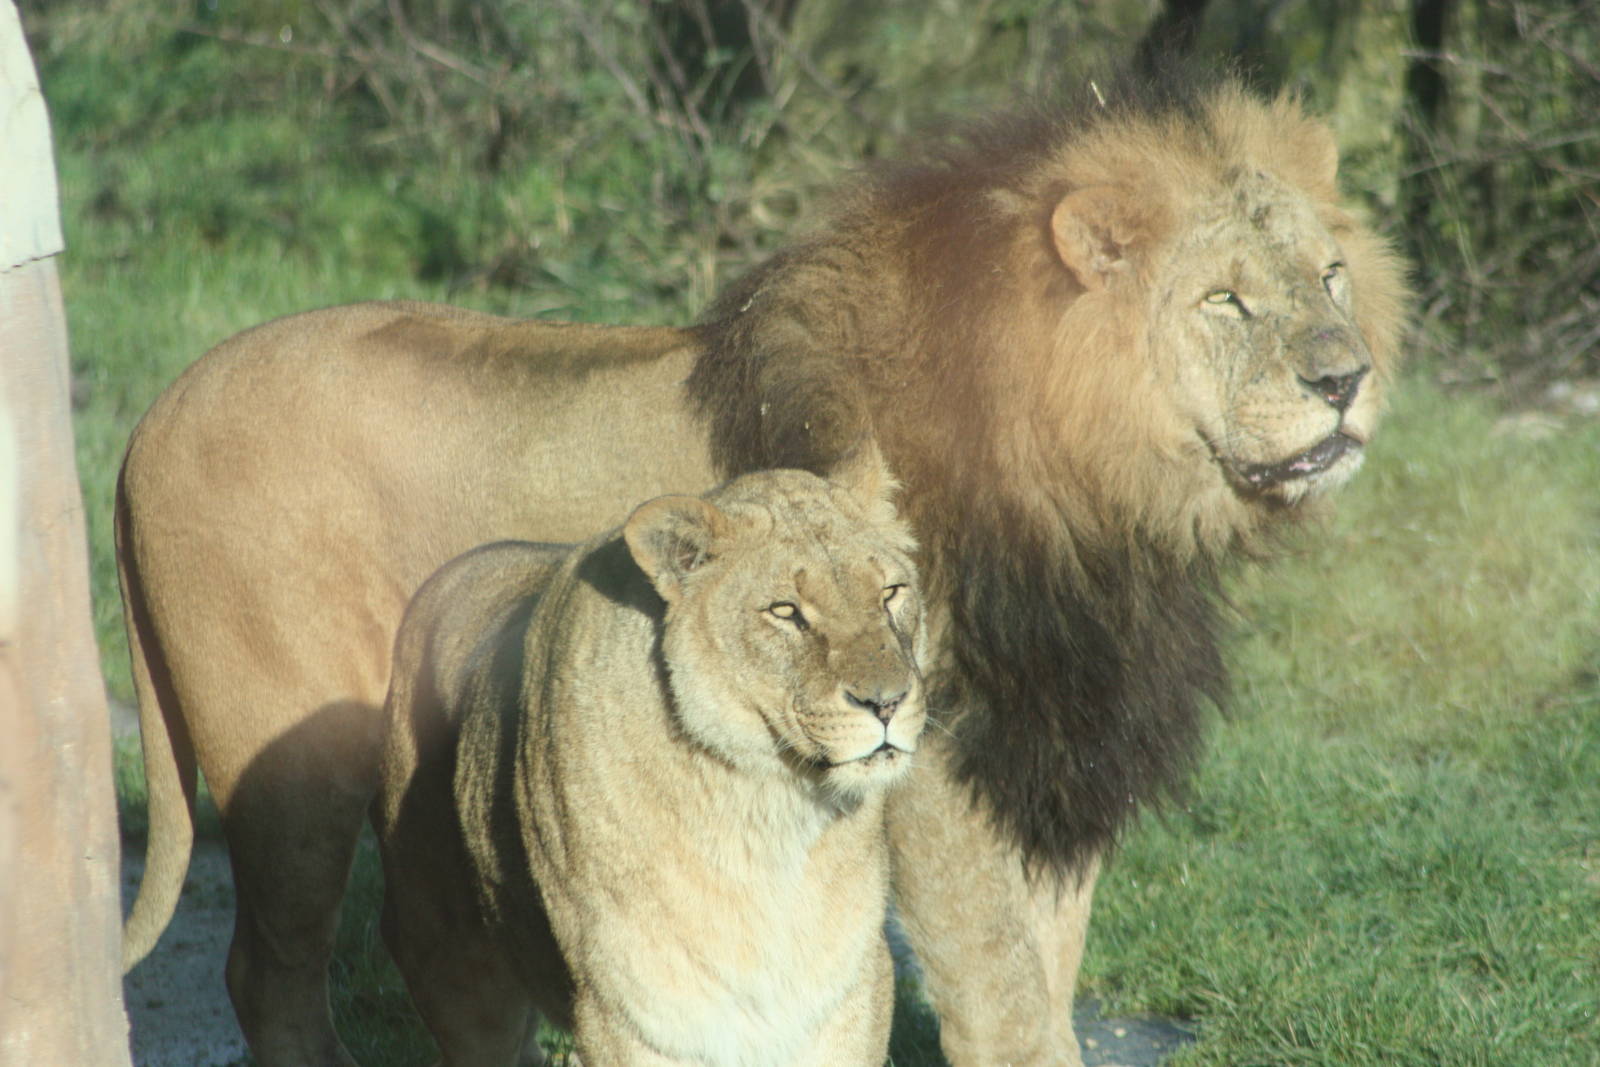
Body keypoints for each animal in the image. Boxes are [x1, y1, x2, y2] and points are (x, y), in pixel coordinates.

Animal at [372, 464, 926, 1066]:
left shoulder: (847, 991)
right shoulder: (631, 1013)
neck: (766, 810)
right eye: (785, 611)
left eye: (890, 593)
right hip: (447, 964)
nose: (887, 702)